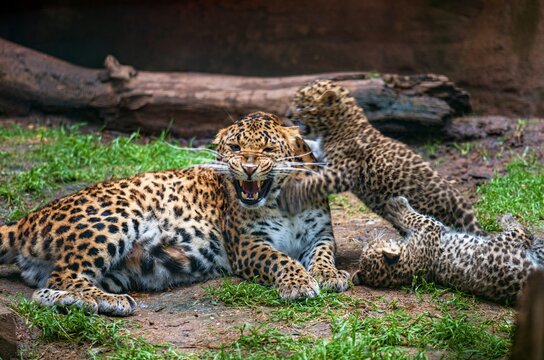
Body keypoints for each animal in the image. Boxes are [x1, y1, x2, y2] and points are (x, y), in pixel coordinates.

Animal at [0, 112, 348, 316]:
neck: (282, 201)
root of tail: (25, 220)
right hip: (117, 217)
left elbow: (322, 255)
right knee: (66, 275)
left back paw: (91, 302)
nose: (248, 168)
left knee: (44, 290)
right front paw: (299, 283)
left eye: (266, 150)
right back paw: (109, 301)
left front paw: (329, 276)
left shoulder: (321, 234)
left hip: (118, 270)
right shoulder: (248, 245)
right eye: (235, 148)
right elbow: (280, 259)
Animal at [282, 80, 482, 235]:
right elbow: (312, 147)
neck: (340, 126)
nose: (287, 115)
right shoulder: (324, 154)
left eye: (301, 106)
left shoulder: (343, 171)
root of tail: (460, 202)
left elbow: (314, 183)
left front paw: (290, 195)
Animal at [350, 197, 540, 304]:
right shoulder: (429, 227)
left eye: (368, 248)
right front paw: (397, 205)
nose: (370, 240)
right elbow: (412, 216)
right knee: (524, 231)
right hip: (510, 240)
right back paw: (507, 218)